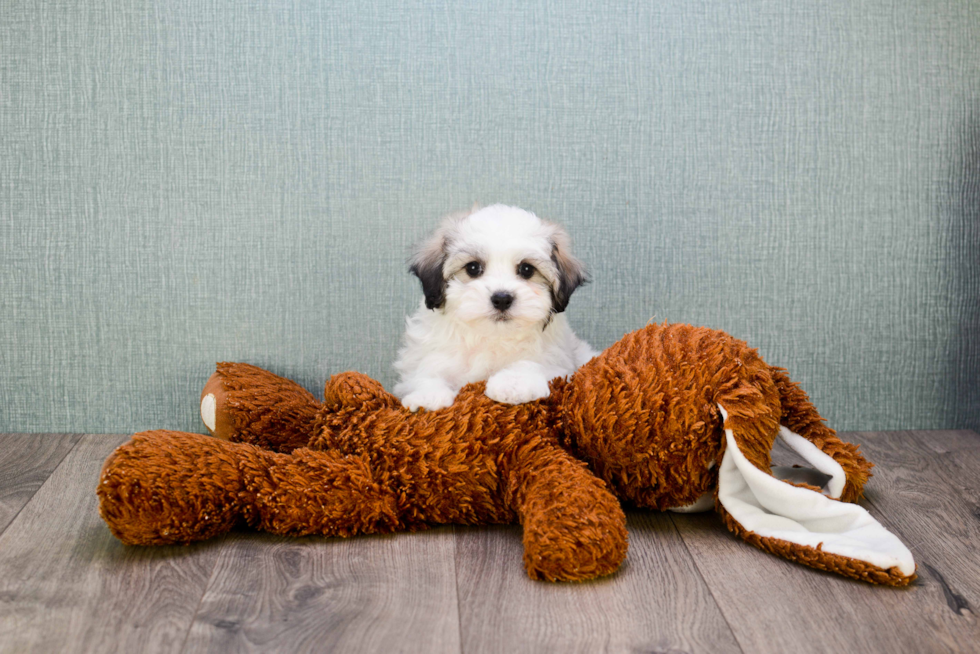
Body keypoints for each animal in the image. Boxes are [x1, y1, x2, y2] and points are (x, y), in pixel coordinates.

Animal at [392, 205, 592, 412]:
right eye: (473, 268)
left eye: (527, 269)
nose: (502, 299)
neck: (491, 336)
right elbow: (425, 370)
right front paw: (427, 396)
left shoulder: (556, 360)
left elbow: (533, 363)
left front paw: (513, 384)